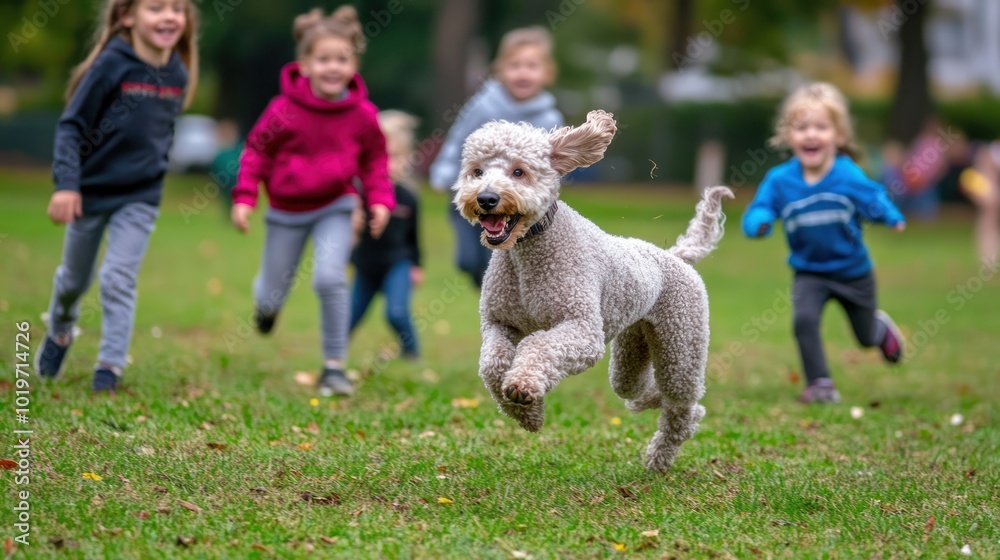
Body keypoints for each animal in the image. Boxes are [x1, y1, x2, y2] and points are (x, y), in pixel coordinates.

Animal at [454, 110, 736, 472]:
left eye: (519, 171)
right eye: (477, 171)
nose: (486, 199)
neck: (528, 253)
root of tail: (675, 256)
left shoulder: (583, 330)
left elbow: (538, 346)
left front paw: (523, 386)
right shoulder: (498, 322)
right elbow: (491, 365)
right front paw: (527, 414)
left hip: (681, 347)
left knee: (683, 407)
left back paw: (660, 458)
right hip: (632, 349)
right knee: (637, 389)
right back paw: (650, 407)